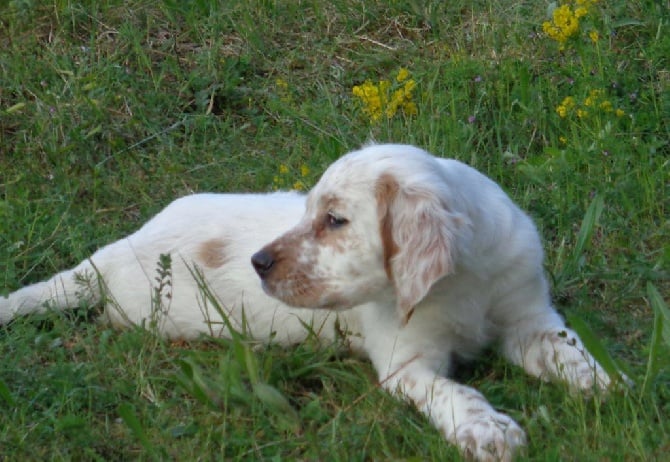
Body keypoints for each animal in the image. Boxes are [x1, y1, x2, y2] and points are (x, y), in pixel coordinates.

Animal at [0, 144, 616, 462]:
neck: (462, 283)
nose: (258, 262)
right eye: (308, 212)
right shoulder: (408, 364)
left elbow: (566, 346)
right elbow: (454, 392)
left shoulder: (528, 316)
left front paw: (604, 384)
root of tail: (104, 259)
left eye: (335, 220)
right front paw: (488, 431)